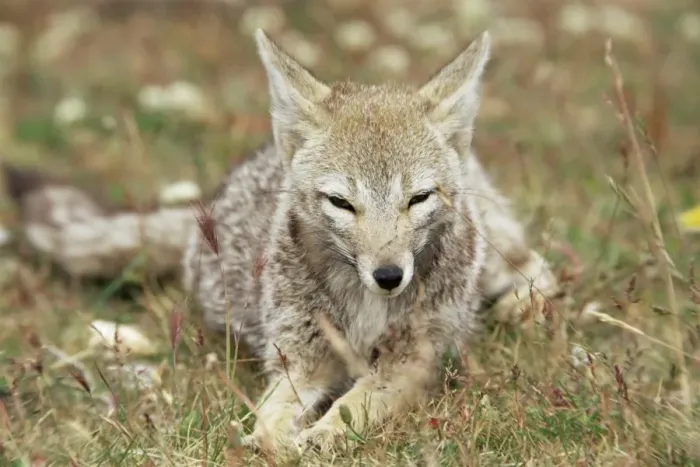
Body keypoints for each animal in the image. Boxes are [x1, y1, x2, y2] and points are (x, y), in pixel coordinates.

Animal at [2, 29, 559, 454]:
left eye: (418, 198)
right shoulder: (300, 361)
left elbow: (355, 406)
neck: (365, 308)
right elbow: (270, 417)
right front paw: (273, 441)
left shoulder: (410, 363)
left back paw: (517, 306)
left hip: (498, 256)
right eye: (341, 203)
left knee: (538, 271)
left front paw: (322, 437)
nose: (388, 276)